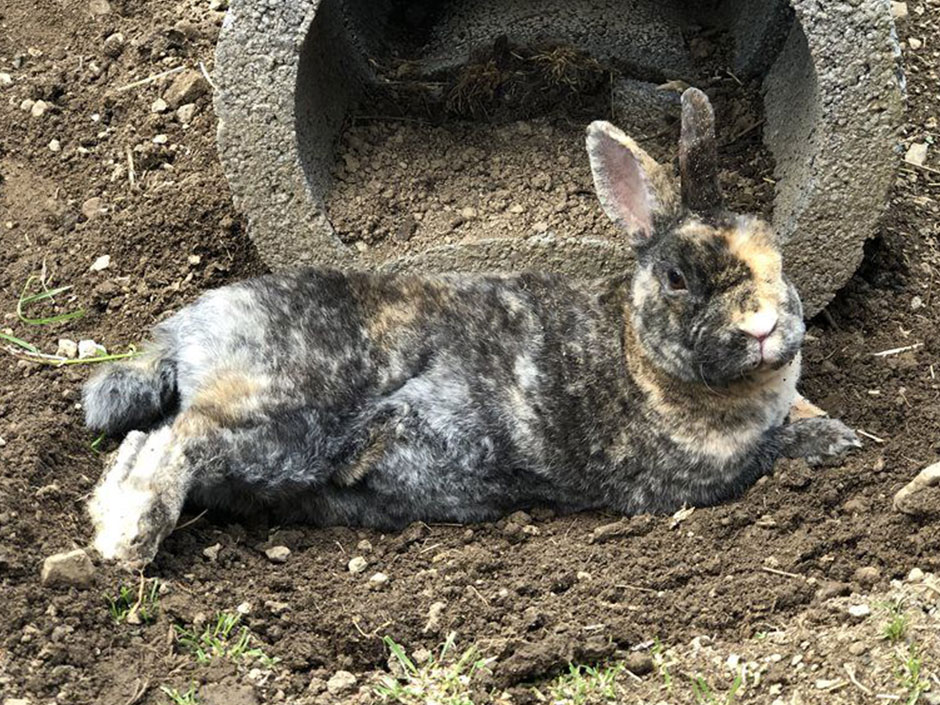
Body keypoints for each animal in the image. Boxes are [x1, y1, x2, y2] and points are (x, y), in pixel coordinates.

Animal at [81, 88, 860, 568]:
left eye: (775, 255)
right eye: (676, 279)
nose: (762, 324)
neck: (638, 357)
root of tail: (186, 335)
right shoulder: (695, 476)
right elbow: (772, 451)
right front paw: (838, 441)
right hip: (275, 417)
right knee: (168, 444)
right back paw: (125, 545)